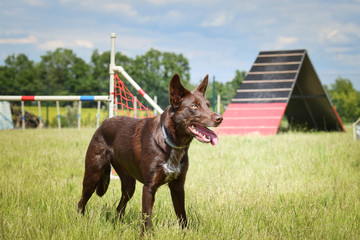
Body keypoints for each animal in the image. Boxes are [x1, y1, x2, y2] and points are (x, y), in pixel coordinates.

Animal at [79, 73, 222, 231]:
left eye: (208, 105)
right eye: (194, 106)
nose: (220, 118)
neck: (171, 142)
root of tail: (103, 123)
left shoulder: (178, 187)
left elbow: (182, 216)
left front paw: (185, 233)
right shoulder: (149, 187)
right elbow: (146, 218)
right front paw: (145, 234)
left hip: (129, 185)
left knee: (119, 208)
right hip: (93, 174)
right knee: (82, 201)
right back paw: (80, 221)